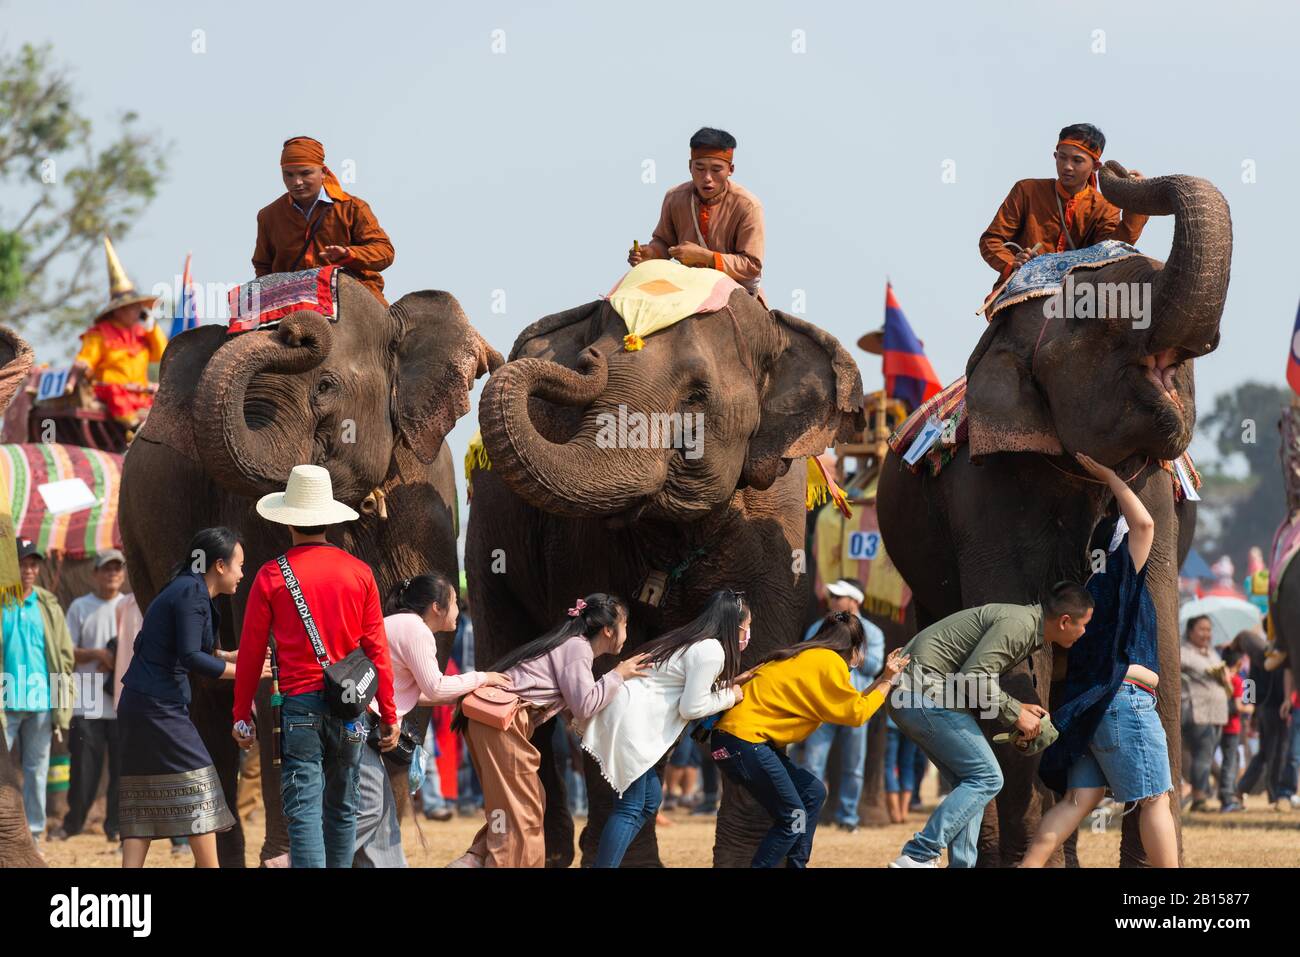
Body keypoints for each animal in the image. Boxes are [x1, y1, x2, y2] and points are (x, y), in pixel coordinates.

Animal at [119, 274, 499, 868]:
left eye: (324, 385)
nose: (295, 329)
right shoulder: (252, 517)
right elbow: (268, 663)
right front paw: (289, 854)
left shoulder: (427, 504)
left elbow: (422, 657)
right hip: (140, 530)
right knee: (205, 702)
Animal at [467, 283, 863, 868]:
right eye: (586, 373)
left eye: (696, 396)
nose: (588, 360)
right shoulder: (579, 541)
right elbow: (603, 667)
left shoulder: (780, 528)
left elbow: (761, 651)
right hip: (486, 542)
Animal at [873, 164, 1227, 868]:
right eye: (1104, 320)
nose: (1116, 170)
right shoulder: (982, 486)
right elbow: (1013, 654)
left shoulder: (1156, 496)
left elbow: (1159, 632)